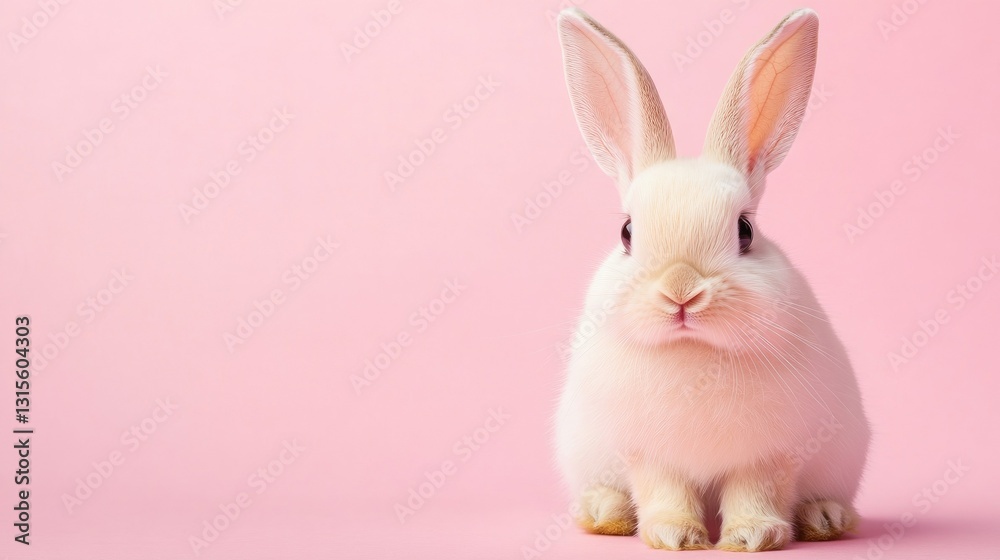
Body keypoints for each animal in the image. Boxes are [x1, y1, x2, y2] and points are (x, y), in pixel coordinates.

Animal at [553, 7, 871, 552]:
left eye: (745, 230)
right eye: (627, 232)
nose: (681, 292)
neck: (694, 355)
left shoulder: (771, 453)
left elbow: (757, 492)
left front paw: (751, 537)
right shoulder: (648, 454)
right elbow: (663, 491)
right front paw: (676, 536)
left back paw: (825, 518)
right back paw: (604, 512)